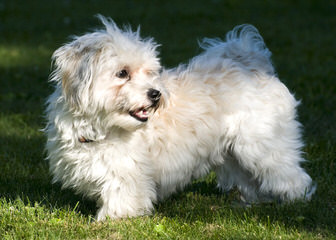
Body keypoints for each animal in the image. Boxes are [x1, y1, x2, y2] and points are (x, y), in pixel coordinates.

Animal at [44, 15, 316, 220]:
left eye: (150, 72)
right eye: (122, 73)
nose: (155, 93)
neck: (101, 128)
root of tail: (253, 63)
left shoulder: (126, 173)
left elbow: (122, 197)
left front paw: (113, 219)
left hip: (263, 144)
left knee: (291, 175)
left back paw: (296, 201)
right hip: (235, 153)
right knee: (250, 178)